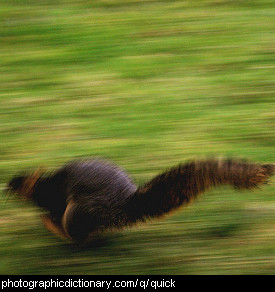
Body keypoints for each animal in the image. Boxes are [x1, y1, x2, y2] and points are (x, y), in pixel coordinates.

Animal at [7, 157, 274, 242]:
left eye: (19, 184)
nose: (6, 186)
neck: (45, 183)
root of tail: (123, 207)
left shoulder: (53, 197)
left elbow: (53, 207)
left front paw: (47, 216)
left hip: (80, 210)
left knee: (76, 235)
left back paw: (55, 228)